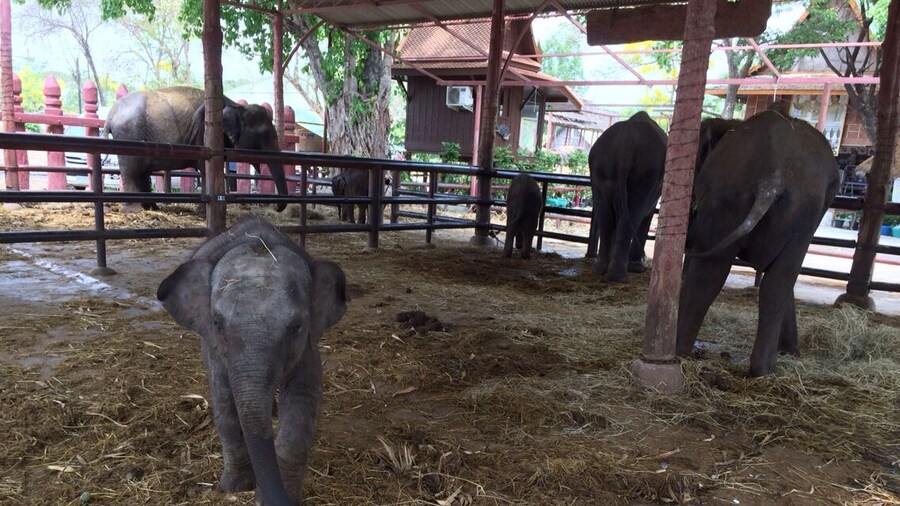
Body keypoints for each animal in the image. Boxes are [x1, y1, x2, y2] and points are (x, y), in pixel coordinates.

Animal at [105, 87, 289, 213]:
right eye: (264, 135)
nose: (276, 208)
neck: (236, 106)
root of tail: (111, 114)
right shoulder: (204, 133)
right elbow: (205, 169)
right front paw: (203, 213)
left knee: (142, 172)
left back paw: (152, 208)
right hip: (128, 136)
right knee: (131, 171)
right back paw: (134, 210)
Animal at [157, 215, 347, 505]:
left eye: (296, 327)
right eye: (217, 323)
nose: (267, 495)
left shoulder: (308, 343)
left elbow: (303, 397)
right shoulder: (213, 346)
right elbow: (225, 402)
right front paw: (234, 487)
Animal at [587, 111, 667, 282]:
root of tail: (627, 142)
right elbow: (646, 215)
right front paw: (637, 267)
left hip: (600, 170)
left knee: (605, 216)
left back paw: (600, 270)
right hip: (645, 175)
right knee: (634, 214)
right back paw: (619, 276)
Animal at [677, 110, 840, 377]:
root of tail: (773, 175)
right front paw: (789, 352)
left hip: (730, 200)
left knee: (713, 275)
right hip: (794, 213)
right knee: (775, 283)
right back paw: (762, 369)